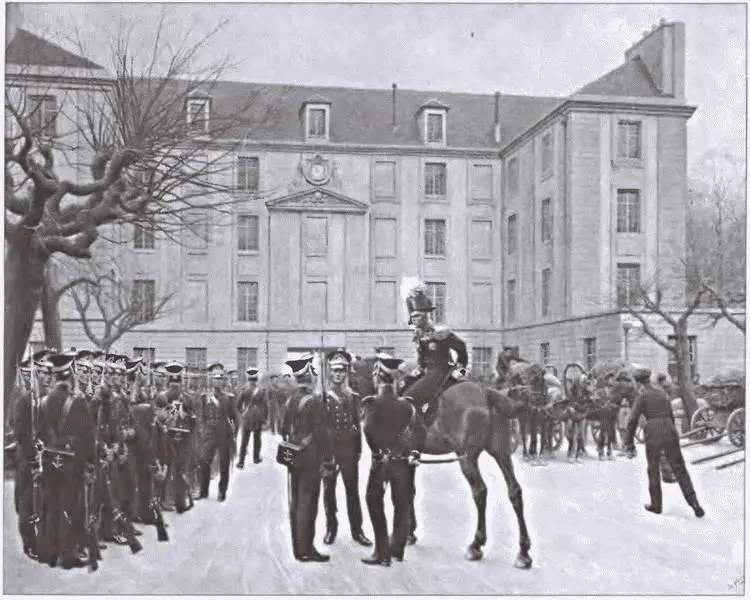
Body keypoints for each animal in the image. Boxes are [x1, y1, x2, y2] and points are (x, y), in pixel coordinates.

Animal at [352, 356, 536, 568]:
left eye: (353, 378)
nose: (360, 409)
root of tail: (486, 393)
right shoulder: (410, 457)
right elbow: (409, 491)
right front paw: (410, 532)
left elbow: (408, 491)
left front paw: (408, 534)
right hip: (501, 453)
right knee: (514, 491)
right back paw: (523, 552)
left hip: (467, 458)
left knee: (480, 491)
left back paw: (476, 545)